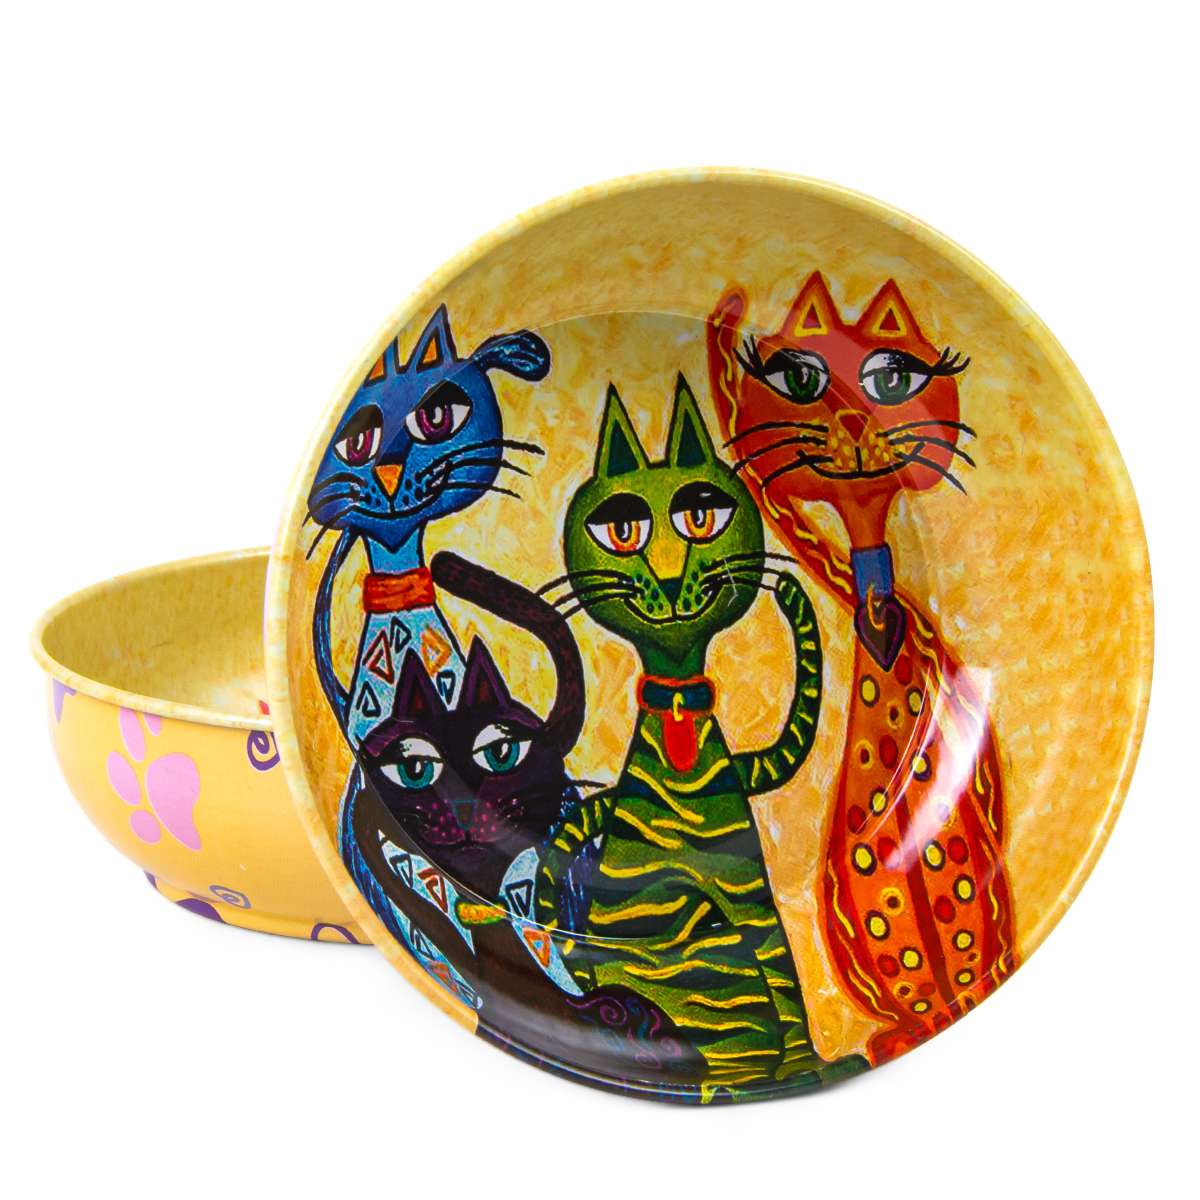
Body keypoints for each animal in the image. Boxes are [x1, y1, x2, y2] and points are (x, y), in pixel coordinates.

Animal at [535, 375, 868, 1095]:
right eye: (623, 531)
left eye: (701, 520)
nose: (665, 576)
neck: (681, 724)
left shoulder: (754, 903)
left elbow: (788, 989)